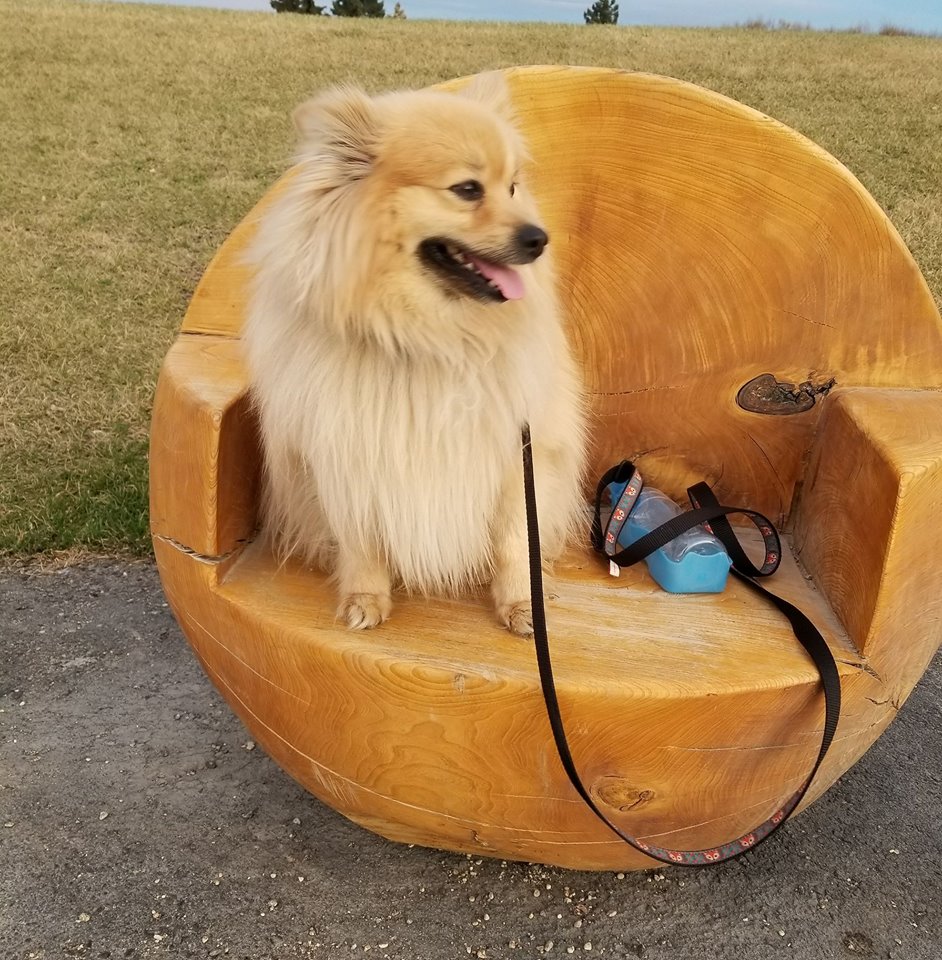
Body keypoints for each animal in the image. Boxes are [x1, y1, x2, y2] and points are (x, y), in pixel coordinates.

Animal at [245, 75, 584, 636]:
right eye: (468, 189)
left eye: (513, 187)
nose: (539, 238)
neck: (427, 338)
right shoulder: (347, 452)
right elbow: (360, 539)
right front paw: (365, 596)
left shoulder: (518, 454)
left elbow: (516, 542)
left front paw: (521, 604)